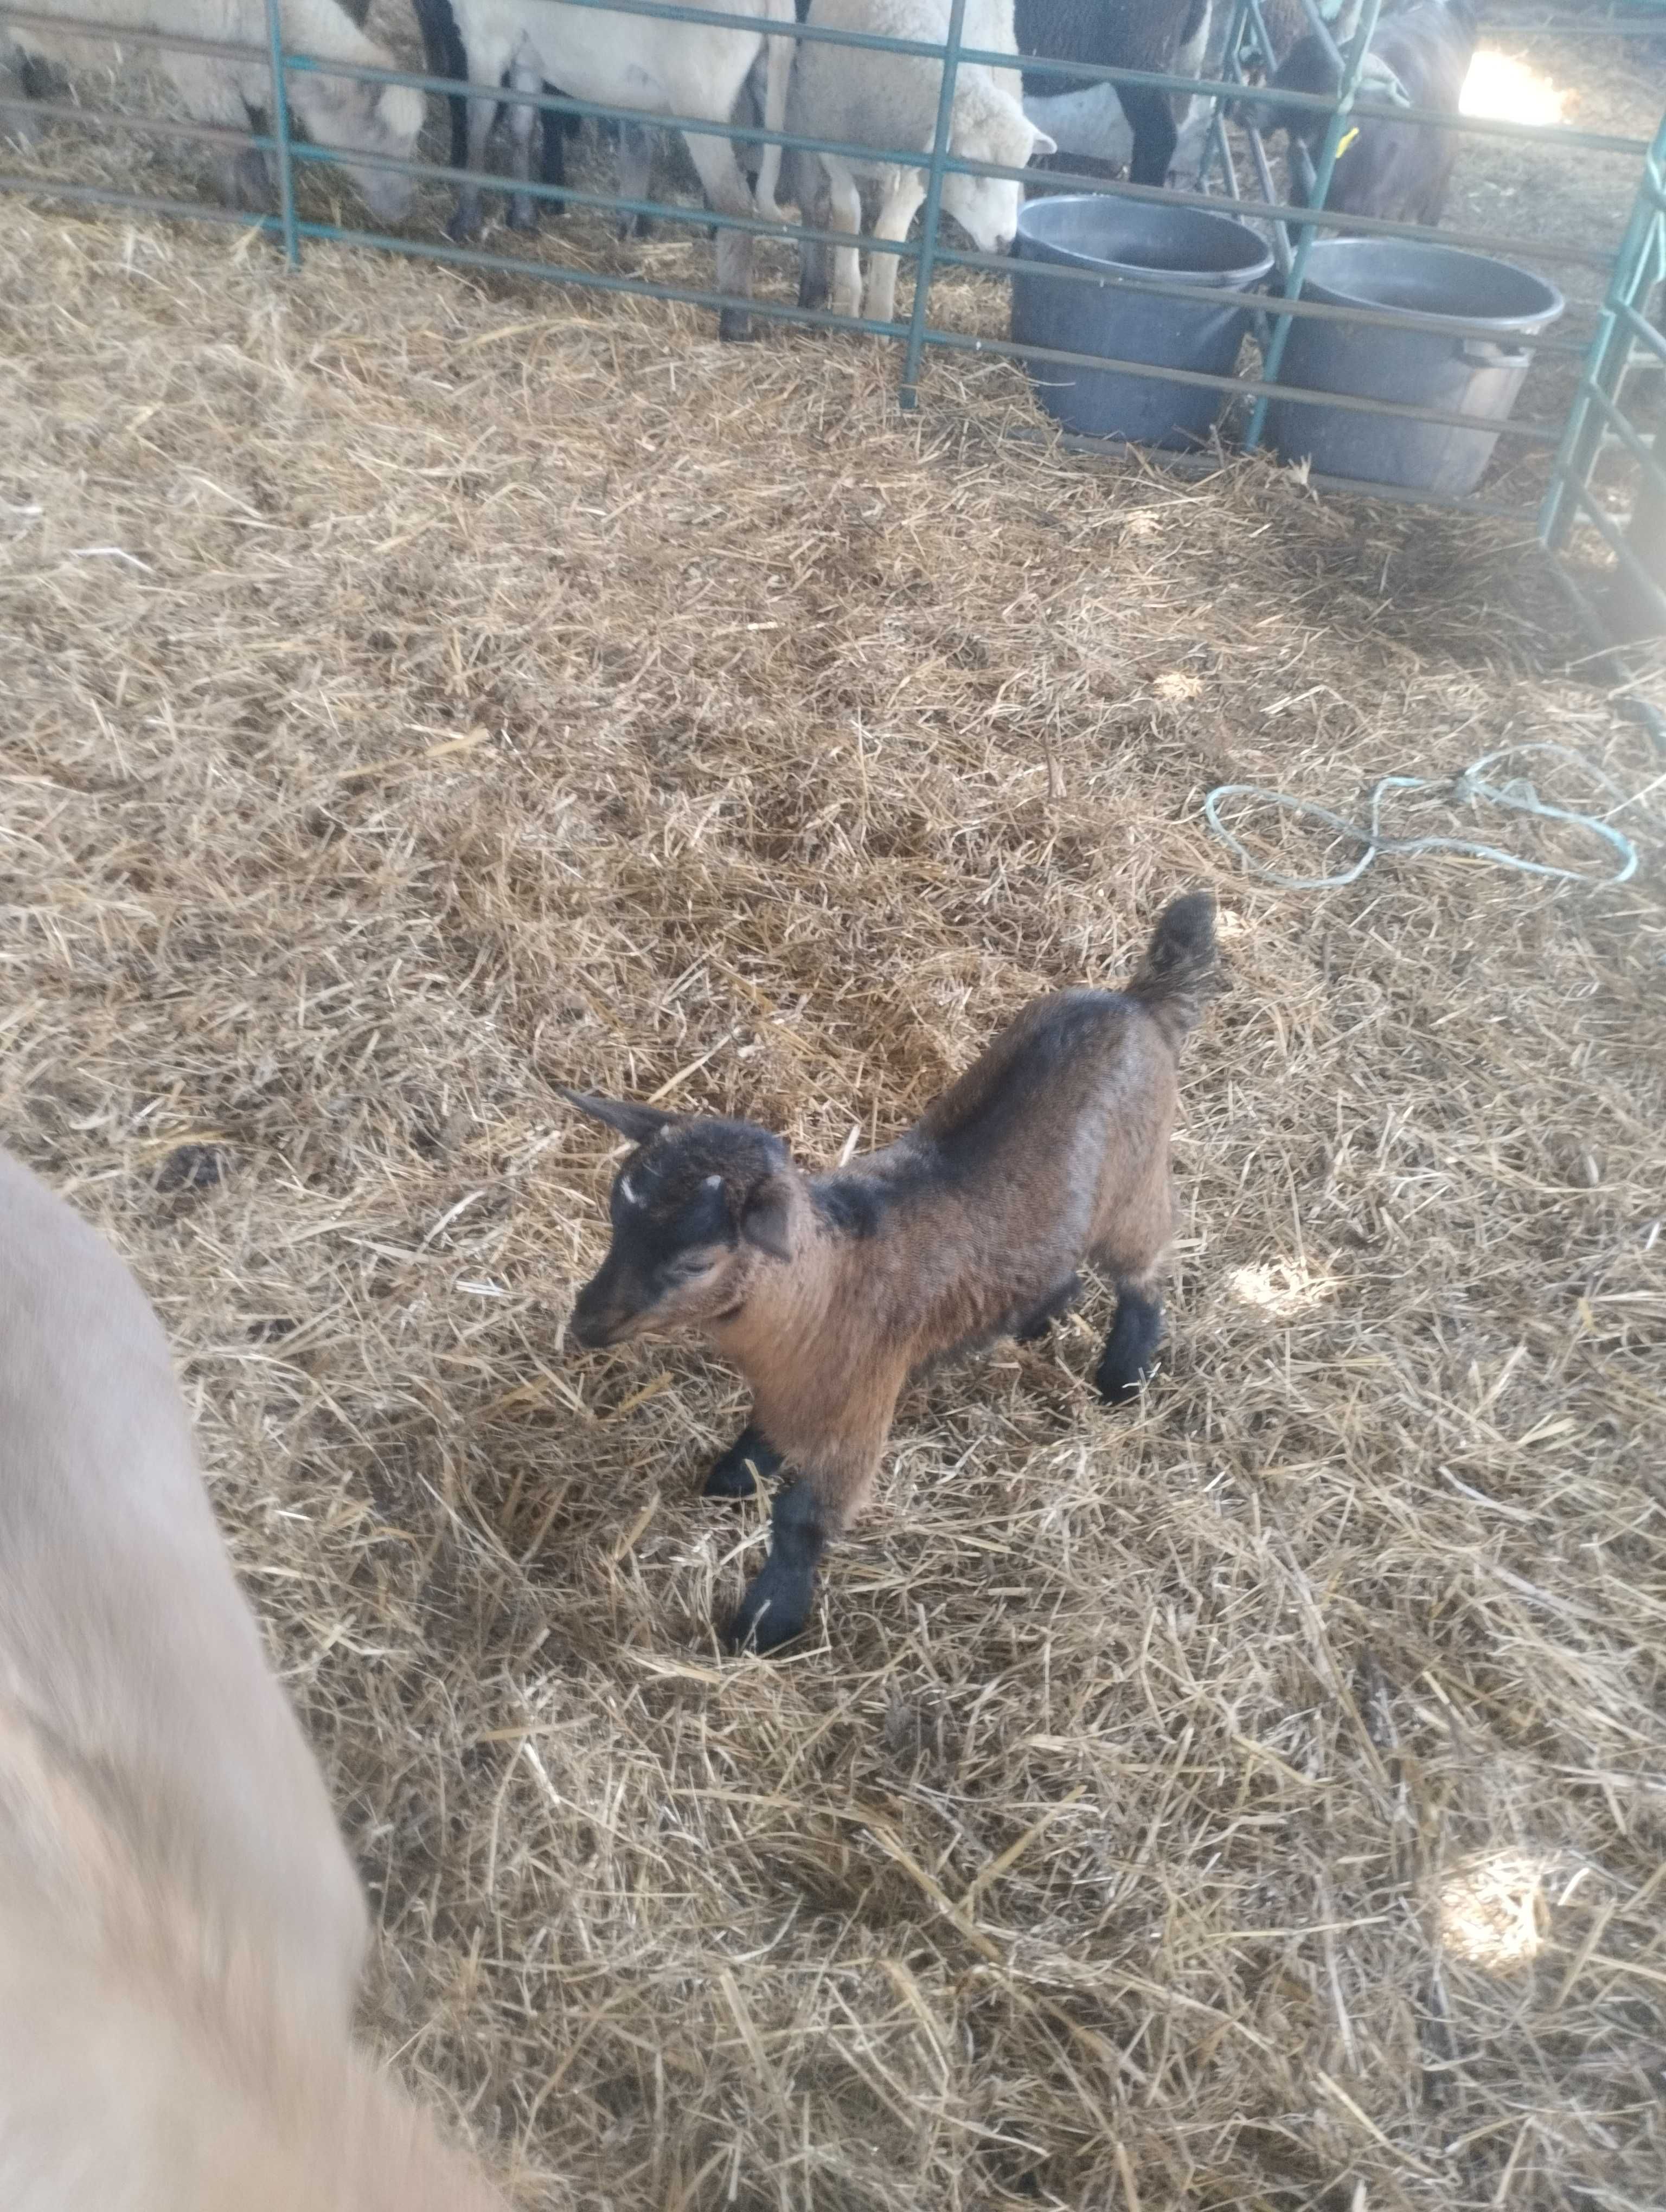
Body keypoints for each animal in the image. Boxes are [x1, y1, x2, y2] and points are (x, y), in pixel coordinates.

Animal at [0, 0, 425, 217]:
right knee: (7, 80)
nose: (403, 211)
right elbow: (236, 148)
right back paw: (27, 138)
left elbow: (258, 133)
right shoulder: (199, 70)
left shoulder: (243, 75)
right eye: (375, 131)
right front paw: (248, 211)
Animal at [783, 0, 1044, 327]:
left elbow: (891, 232)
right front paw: (846, 303)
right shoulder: (831, 146)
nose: (1005, 239)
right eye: (968, 162)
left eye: (1023, 163)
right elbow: (847, 218)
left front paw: (878, 316)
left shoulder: (919, 168)